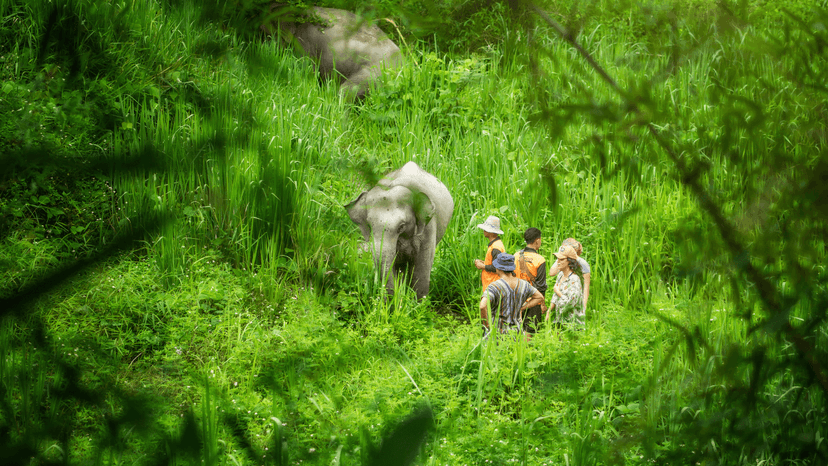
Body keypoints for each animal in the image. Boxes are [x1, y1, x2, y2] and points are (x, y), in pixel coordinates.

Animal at [346, 162, 454, 299]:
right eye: (370, 225)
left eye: (401, 226)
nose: (389, 299)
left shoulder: (429, 227)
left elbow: (422, 267)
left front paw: (419, 302)